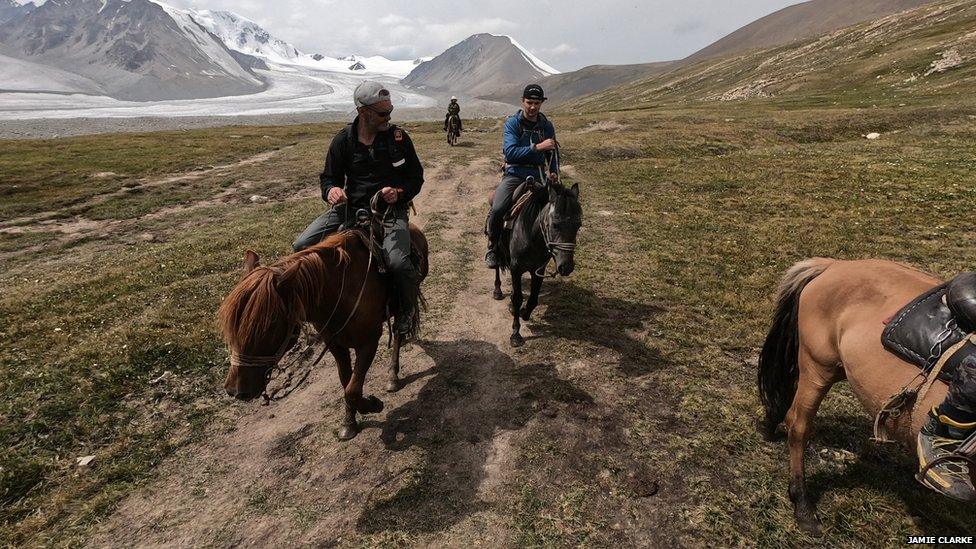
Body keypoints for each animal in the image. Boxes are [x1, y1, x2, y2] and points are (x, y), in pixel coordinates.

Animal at [221, 225, 428, 438]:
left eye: (270, 324)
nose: (235, 390)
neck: (338, 292)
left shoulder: (369, 342)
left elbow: (352, 391)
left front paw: (373, 404)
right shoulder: (335, 344)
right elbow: (346, 383)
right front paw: (349, 422)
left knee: (398, 334)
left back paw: (393, 377)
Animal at [492, 180, 576, 344]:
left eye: (579, 225)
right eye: (555, 224)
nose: (566, 267)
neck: (530, 233)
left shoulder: (538, 269)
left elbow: (533, 299)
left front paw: (523, 312)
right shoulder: (516, 268)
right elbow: (518, 298)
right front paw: (516, 333)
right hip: (498, 248)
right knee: (497, 266)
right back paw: (497, 290)